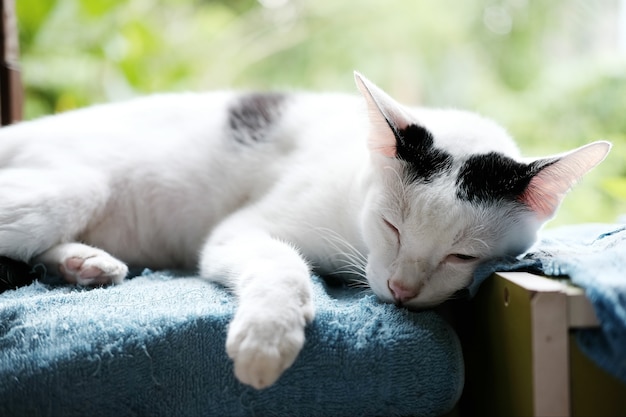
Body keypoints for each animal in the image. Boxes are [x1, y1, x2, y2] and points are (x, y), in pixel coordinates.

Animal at [0, 71, 608, 386]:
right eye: (391, 226)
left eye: (461, 257)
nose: (402, 289)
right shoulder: (243, 231)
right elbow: (282, 262)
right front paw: (268, 337)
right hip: (74, 184)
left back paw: (85, 264)